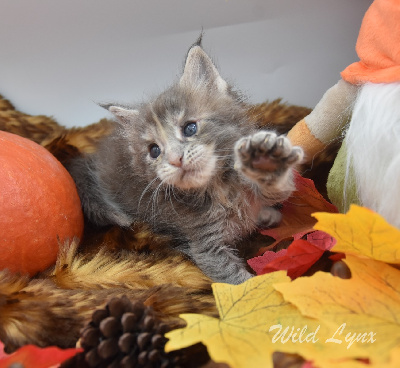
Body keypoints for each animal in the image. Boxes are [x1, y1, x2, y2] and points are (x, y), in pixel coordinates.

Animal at [69, 40, 304, 284]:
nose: (175, 159)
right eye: (154, 150)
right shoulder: (205, 245)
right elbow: (236, 279)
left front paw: (265, 161)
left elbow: (279, 189)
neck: (220, 189)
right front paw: (266, 289)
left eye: (190, 128)